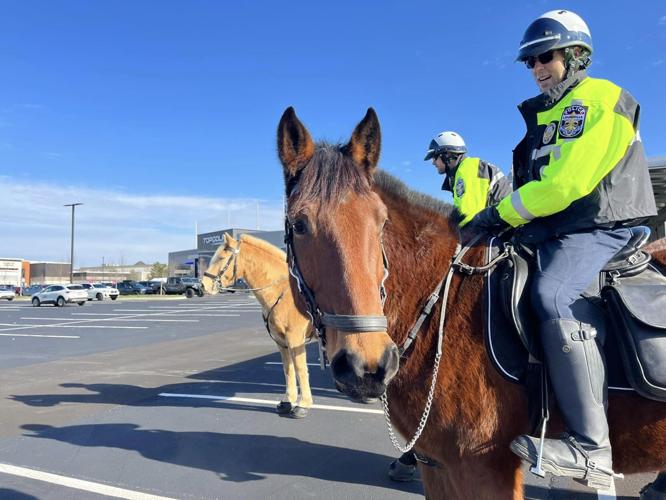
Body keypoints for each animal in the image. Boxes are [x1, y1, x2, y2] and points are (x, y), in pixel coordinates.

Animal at [201, 232, 315, 418]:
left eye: (221, 257)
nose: (203, 285)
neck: (283, 292)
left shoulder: (295, 338)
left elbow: (300, 368)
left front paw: (303, 405)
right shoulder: (282, 341)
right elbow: (288, 369)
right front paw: (287, 402)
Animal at [276, 106, 666, 499]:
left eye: (381, 222)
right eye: (299, 224)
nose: (365, 365)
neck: (443, 311)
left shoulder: (484, 469)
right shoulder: (437, 465)